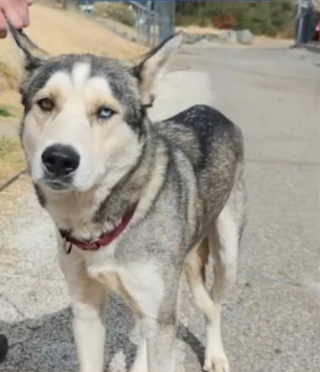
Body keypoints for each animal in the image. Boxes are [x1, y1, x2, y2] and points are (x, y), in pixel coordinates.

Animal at [10, 26, 245, 372]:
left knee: (213, 304)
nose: (59, 159)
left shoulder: (162, 322)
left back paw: (216, 354)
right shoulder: (86, 308)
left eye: (105, 111)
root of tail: (213, 110)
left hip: (227, 256)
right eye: (46, 103)